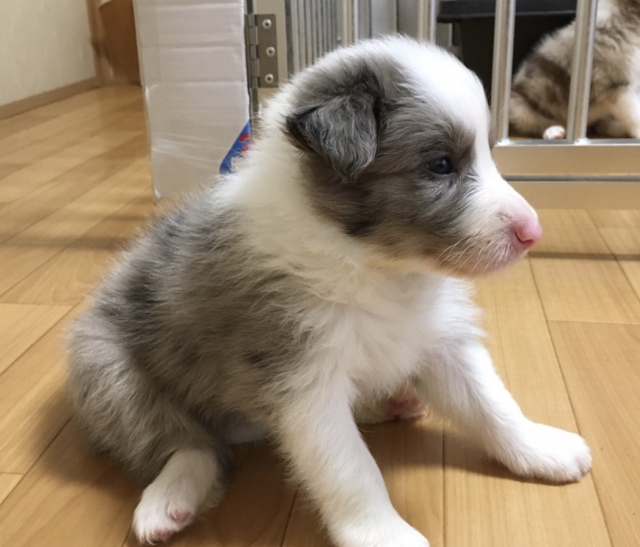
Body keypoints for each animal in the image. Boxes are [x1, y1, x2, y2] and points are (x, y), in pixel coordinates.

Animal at [68, 36, 592, 547]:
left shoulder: (439, 340)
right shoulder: (301, 378)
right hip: (109, 373)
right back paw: (169, 500)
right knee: (188, 445)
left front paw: (541, 448)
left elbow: (492, 403)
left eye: (488, 152)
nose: (532, 232)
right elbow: (350, 468)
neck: (378, 267)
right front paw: (385, 535)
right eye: (441, 164)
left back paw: (391, 402)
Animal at [510, 0, 640, 139]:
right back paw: (553, 132)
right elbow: (634, 114)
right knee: (538, 124)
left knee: (601, 125)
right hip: (519, 107)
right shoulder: (617, 89)